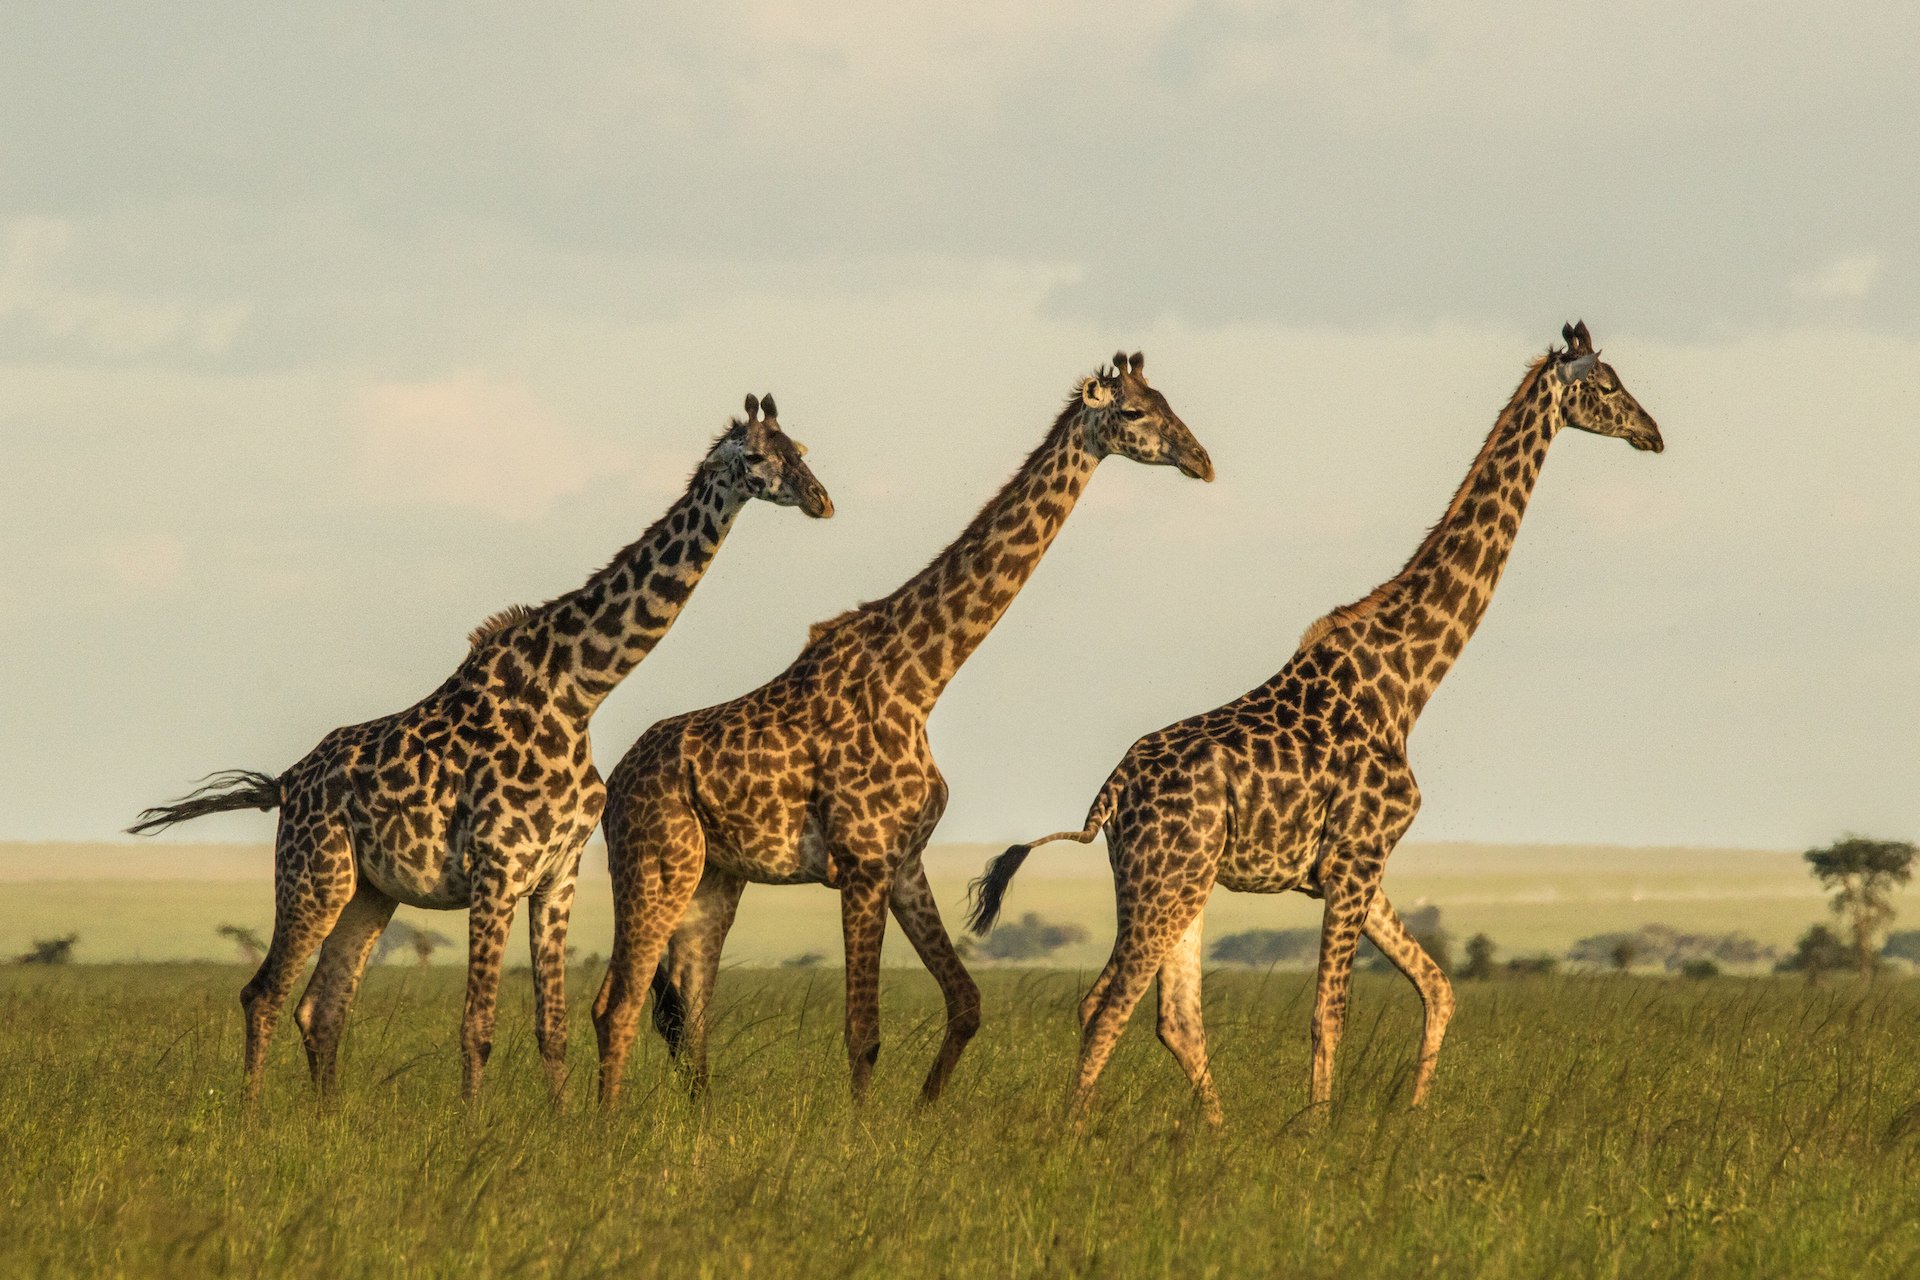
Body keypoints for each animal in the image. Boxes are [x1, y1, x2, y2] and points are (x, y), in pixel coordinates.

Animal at [127, 397, 833, 1105]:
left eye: (800, 449)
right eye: (756, 457)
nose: (821, 500)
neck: (577, 693)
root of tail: (285, 784)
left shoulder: (557, 875)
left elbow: (553, 1029)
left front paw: (563, 1122)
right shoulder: (496, 869)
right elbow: (478, 1028)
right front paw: (473, 1124)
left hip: (366, 893)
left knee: (321, 1008)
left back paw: (323, 1119)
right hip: (313, 877)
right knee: (263, 994)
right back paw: (250, 1116)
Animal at [591, 355, 1205, 1105]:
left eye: (1168, 401)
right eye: (1135, 414)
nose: (1202, 461)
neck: (920, 682)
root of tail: (616, 784)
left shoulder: (905, 861)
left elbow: (967, 1003)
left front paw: (921, 1114)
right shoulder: (861, 865)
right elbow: (864, 1033)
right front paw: (861, 1130)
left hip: (713, 879)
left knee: (688, 1003)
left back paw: (698, 1119)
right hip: (652, 866)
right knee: (618, 1003)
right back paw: (605, 1123)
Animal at [975, 320, 1666, 1120]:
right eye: (1608, 385)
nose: (1653, 434)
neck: (1408, 683)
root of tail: (1110, 794)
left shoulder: (1358, 864)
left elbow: (1439, 988)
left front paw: (1411, 1115)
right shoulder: (1355, 858)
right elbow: (1329, 1012)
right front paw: (1317, 1128)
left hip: (1176, 880)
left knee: (1169, 1013)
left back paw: (1214, 1131)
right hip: (1166, 877)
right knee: (1110, 1002)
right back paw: (1074, 1130)